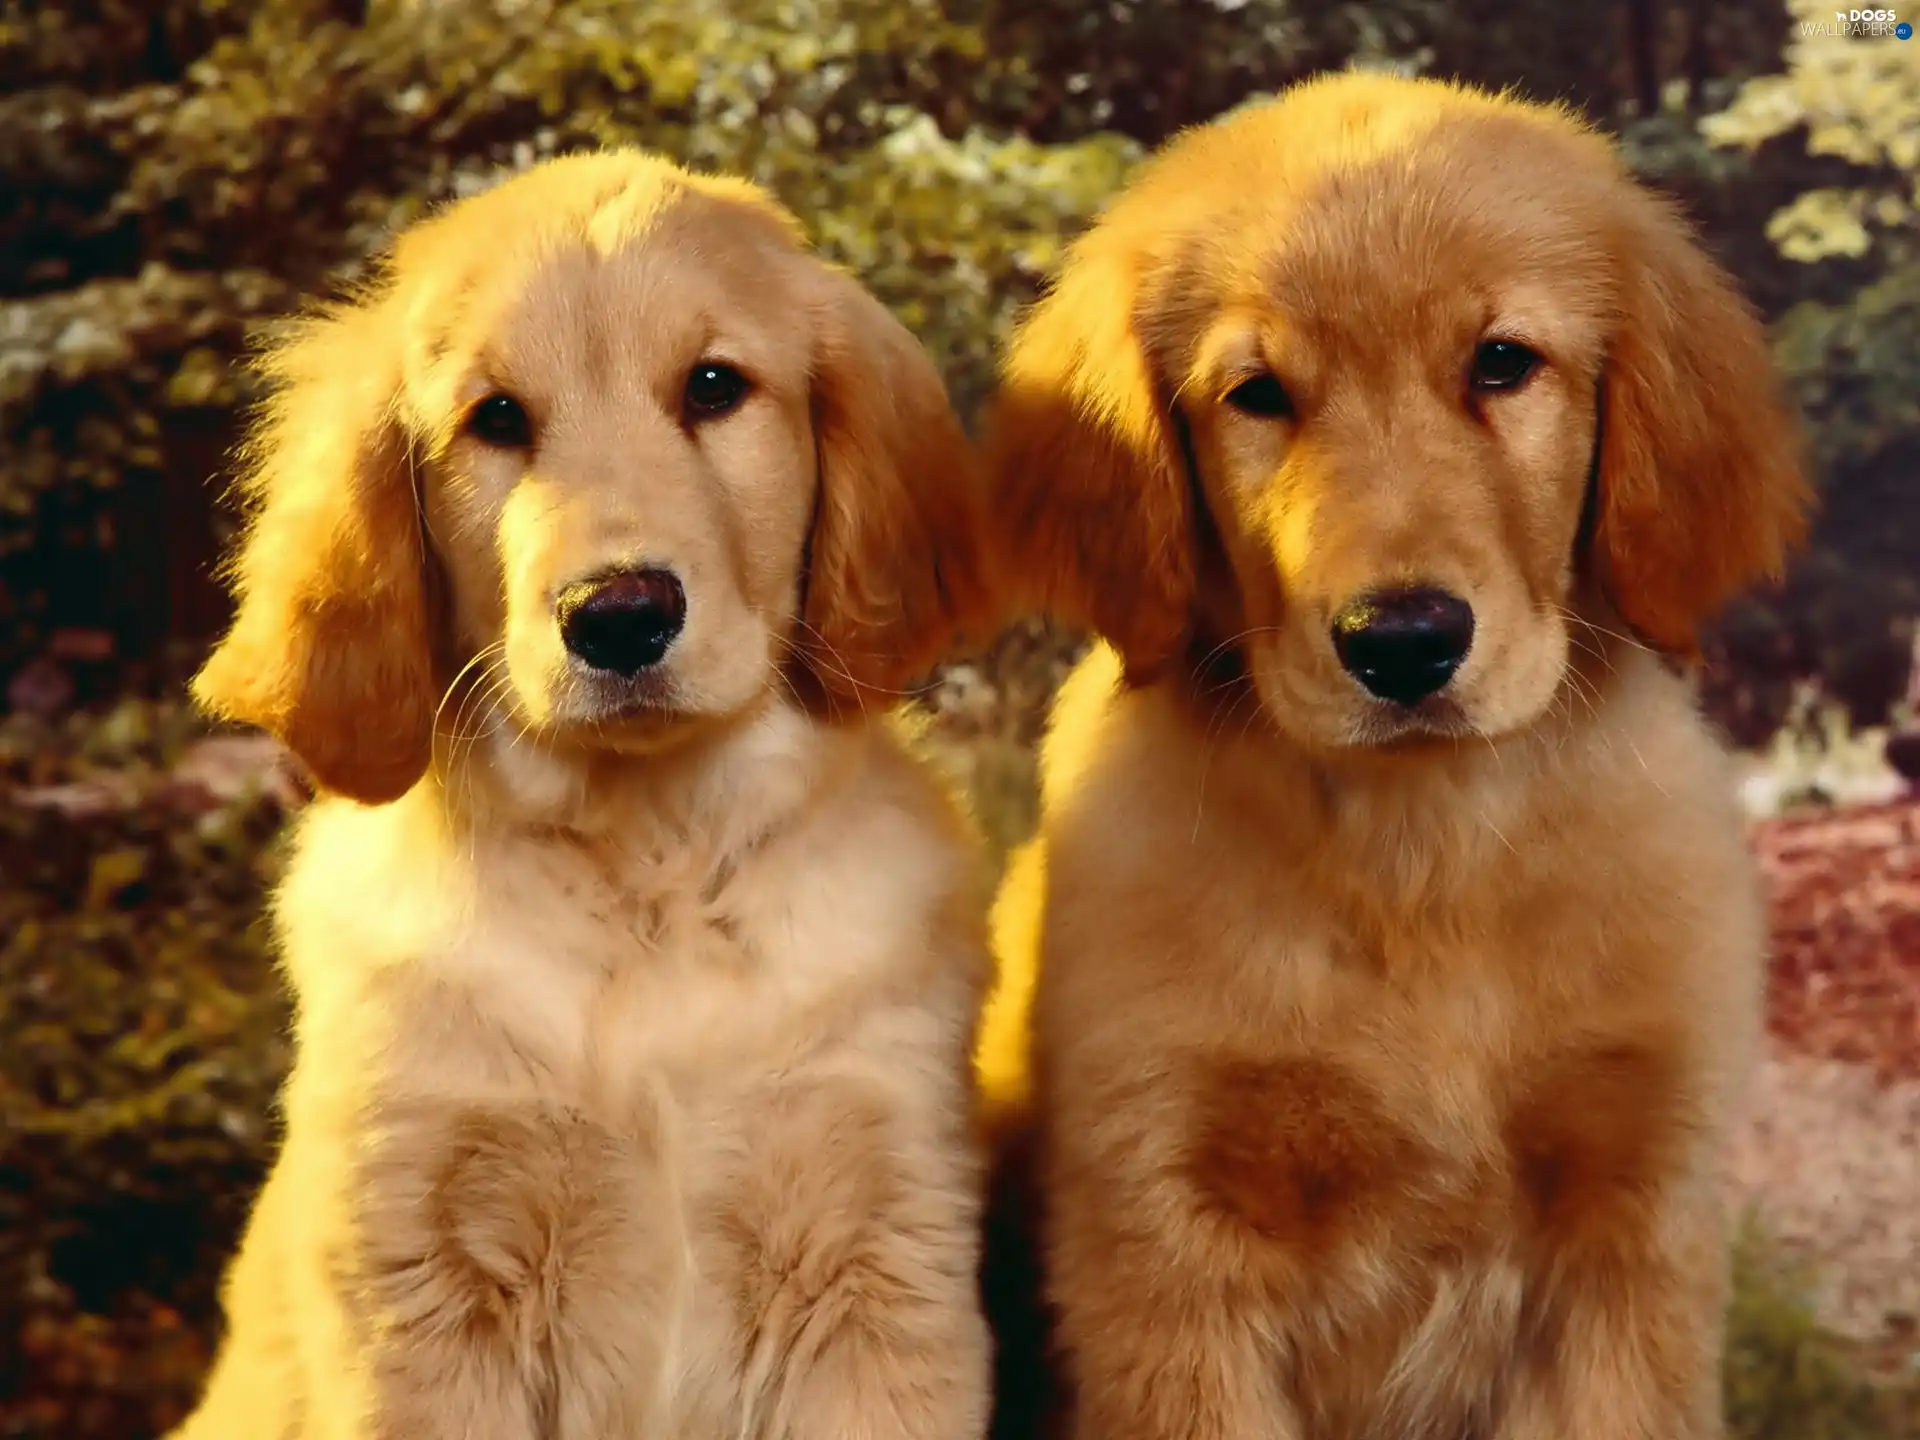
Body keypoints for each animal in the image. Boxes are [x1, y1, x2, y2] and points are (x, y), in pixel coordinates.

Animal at [176, 149, 1006, 1440]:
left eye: (714, 387)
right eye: (496, 420)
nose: (618, 615)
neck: (648, 851)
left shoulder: (882, 1265)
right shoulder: (418, 1289)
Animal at [975, 73, 1812, 1440]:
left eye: (1503, 363)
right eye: (1257, 394)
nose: (1405, 643)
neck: (1422, 850)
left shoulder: (1629, 1232)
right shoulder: (1162, 1247)